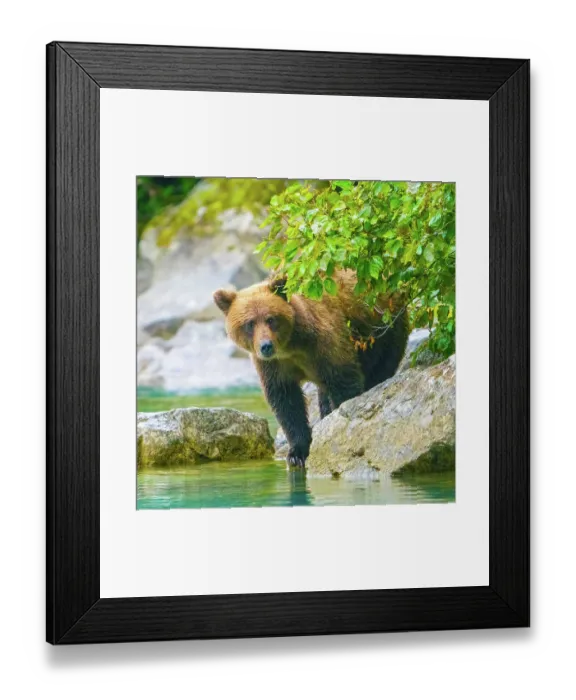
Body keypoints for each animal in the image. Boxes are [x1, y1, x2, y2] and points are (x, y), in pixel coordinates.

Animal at [213, 270, 409, 467]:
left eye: (270, 319)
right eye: (250, 323)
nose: (266, 346)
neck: (292, 345)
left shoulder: (325, 343)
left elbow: (344, 381)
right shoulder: (274, 366)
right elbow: (286, 402)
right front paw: (297, 452)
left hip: (383, 329)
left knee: (381, 367)